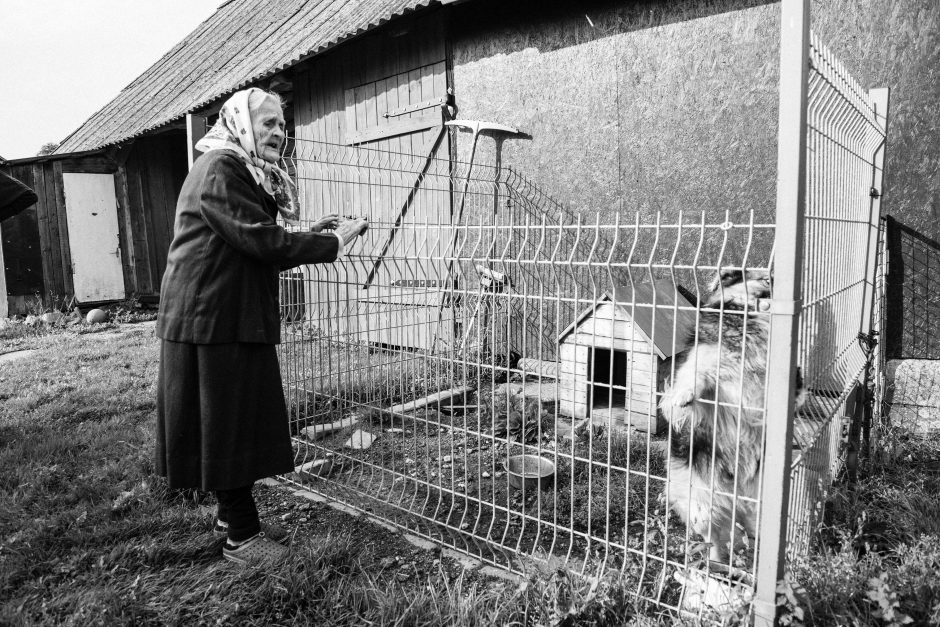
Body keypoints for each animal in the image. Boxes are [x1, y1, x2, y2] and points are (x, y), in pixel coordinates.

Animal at [656, 270, 804, 564]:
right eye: (764, 278)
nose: (775, 277)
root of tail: (736, 499)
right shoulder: (706, 374)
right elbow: (696, 378)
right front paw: (684, 396)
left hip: (759, 507)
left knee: (750, 533)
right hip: (702, 506)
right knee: (715, 538)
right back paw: (717, 564)